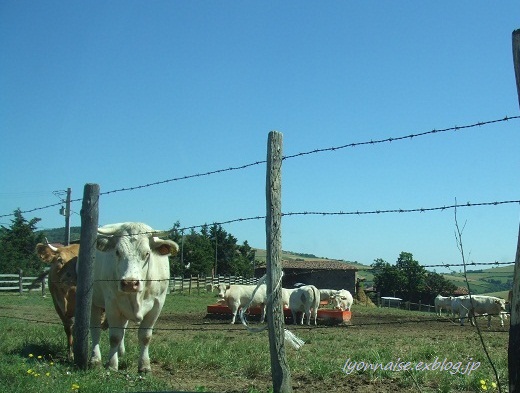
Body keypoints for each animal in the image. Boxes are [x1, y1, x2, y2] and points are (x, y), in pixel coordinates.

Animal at [89, 222, 179, 372]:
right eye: (117, 252)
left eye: (147, 253)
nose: (130, 283)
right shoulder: (112, 304)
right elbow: (114, 336)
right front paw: (112, 364)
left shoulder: (157, 305)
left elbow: (145, 336)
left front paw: (144, 365)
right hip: (94, 303)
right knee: (95, 330)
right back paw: (95, 359)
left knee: (123, 327)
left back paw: (121, 352)